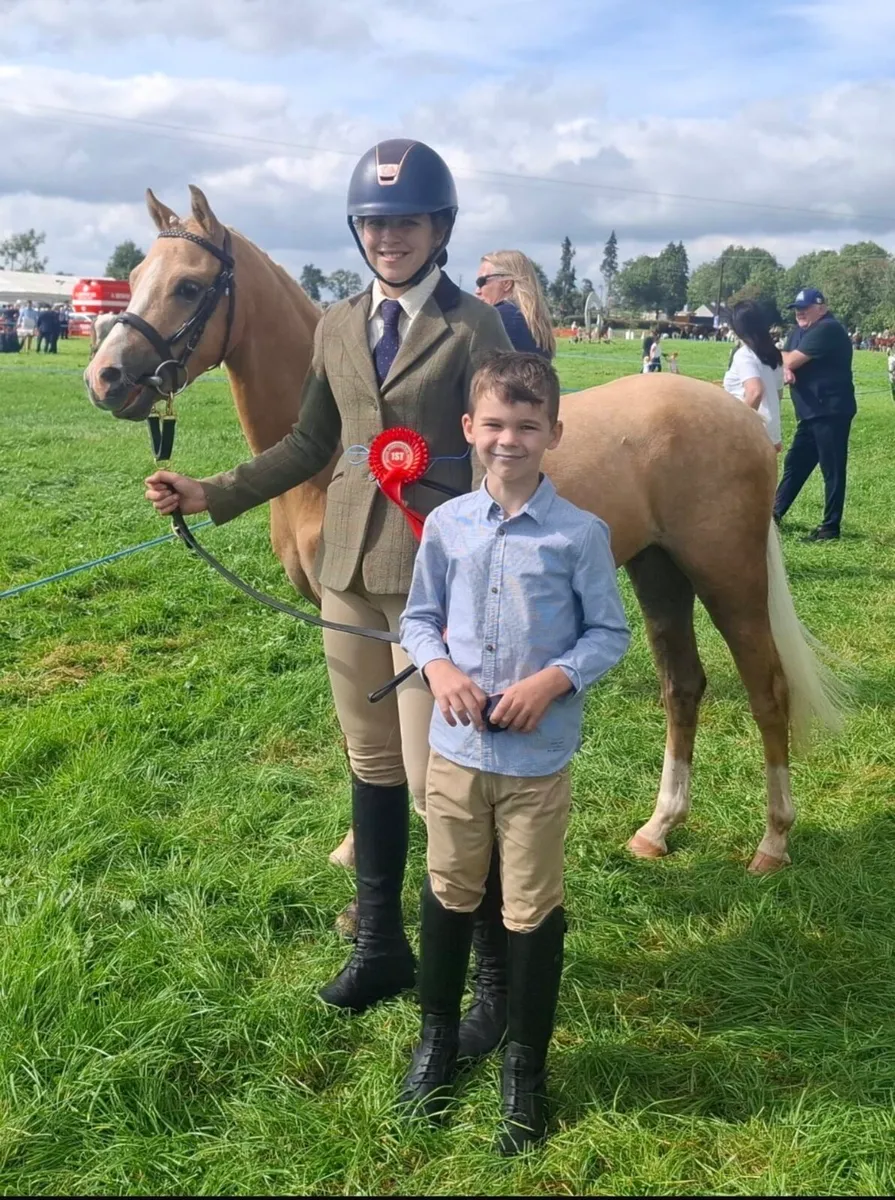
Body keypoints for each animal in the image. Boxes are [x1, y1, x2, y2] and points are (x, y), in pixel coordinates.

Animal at [86, 185, 844, 877]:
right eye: (136, 276)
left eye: (189, 285)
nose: (105, 377)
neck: (334, 462)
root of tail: (739, 417)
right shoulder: (346, 620)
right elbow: (364, 742)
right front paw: (358, 847)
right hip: (658, 571)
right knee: (682, 687)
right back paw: (659, 828)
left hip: (727, 575)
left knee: (767, 691)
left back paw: (772, 842)